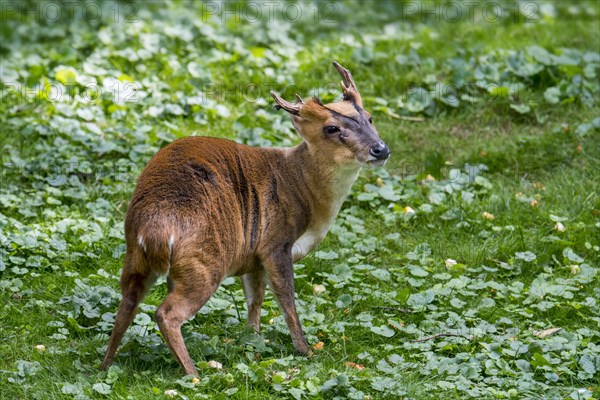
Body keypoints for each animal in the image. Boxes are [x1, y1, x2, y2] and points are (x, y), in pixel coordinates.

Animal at [101, 61, 392, 376]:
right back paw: (194, 374)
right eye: (331, 128)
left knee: (127, 303)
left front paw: (253, 340)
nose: (381, 149)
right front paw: (305, 351)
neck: (303, 188)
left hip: (136, 258)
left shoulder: (253, 255)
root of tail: (153, 230)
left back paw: (105, 366)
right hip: (204, 262)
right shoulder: (275, 242)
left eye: (370, 117)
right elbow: (286, 298)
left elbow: (255, 299)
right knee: (166, 313)